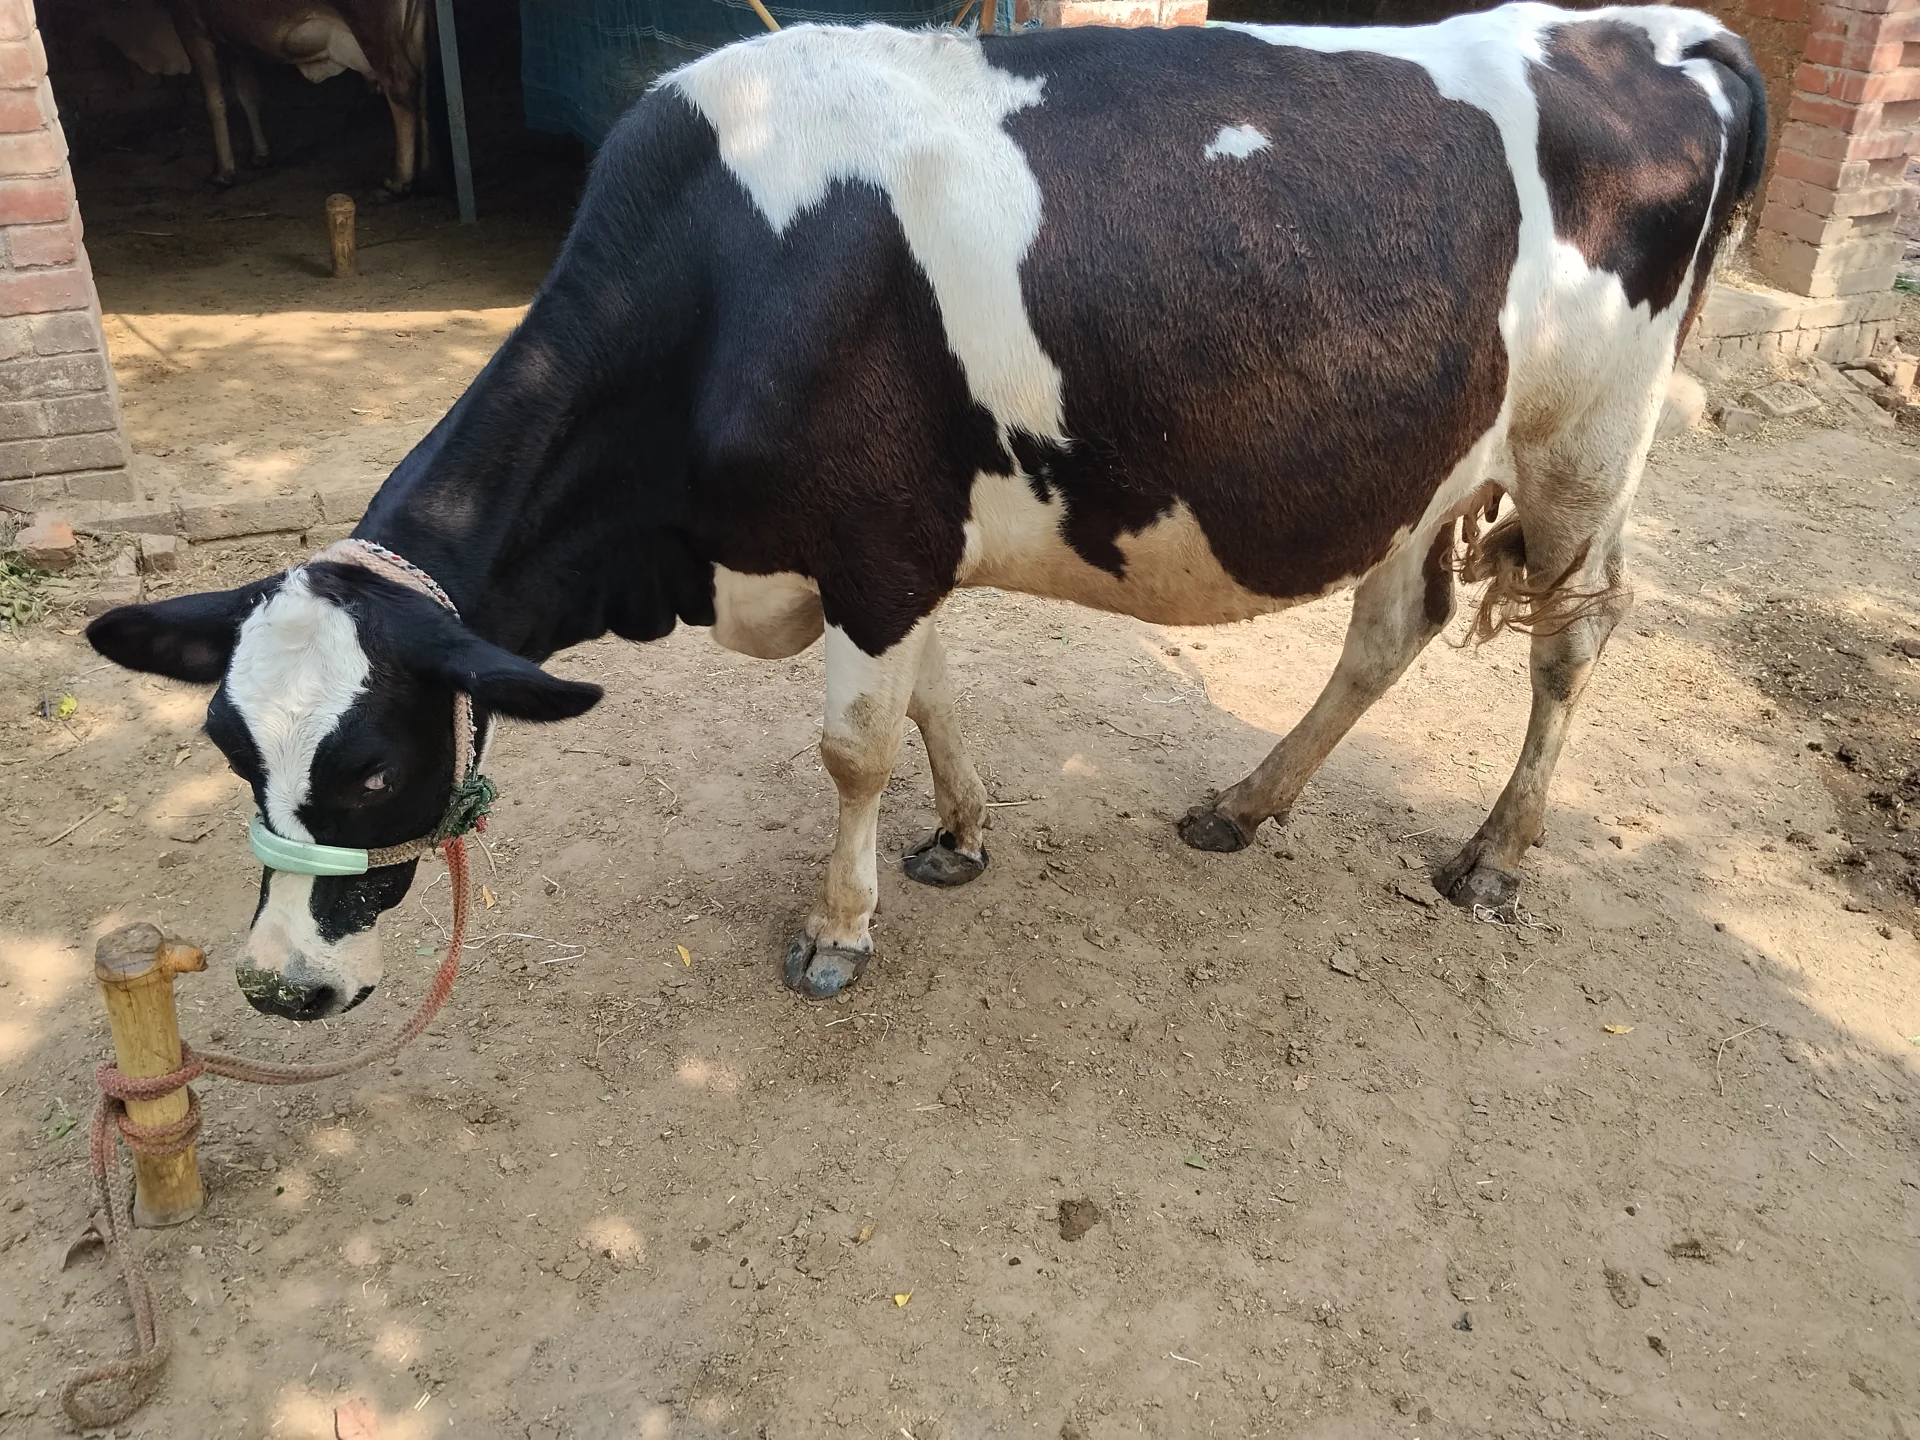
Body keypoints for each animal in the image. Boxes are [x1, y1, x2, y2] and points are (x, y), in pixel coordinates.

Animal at [158, 0, 430, 192]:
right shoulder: (236, 43)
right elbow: (247, 95)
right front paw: (261, 154)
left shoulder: (192, 26)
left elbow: (215, 101)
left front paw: (223, 172)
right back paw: (424, 169)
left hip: (372, 30)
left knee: (400, 85)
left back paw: (400, 179)